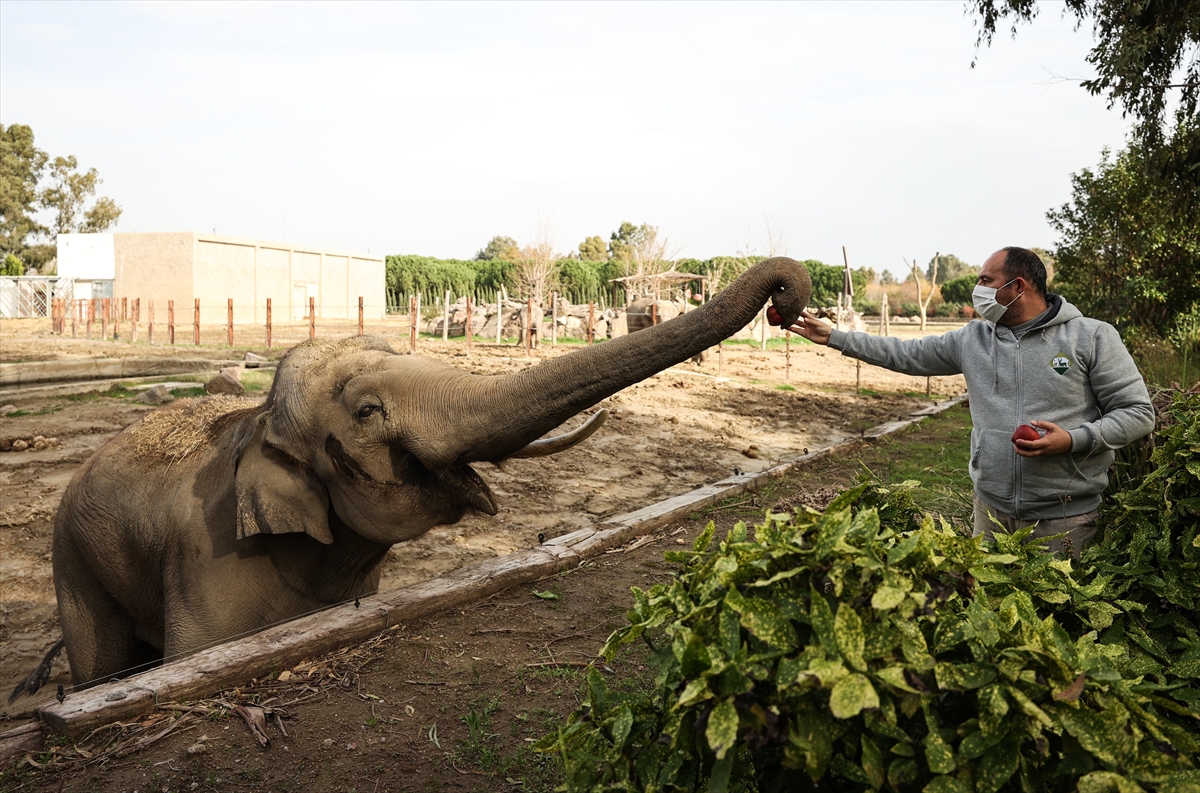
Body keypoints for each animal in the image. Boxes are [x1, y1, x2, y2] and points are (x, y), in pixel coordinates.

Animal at [46, 257, 816, 686]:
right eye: (367, 412)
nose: (788, 297)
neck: (257, 421)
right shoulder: (207, 562)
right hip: (71, 558)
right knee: (100, 662)